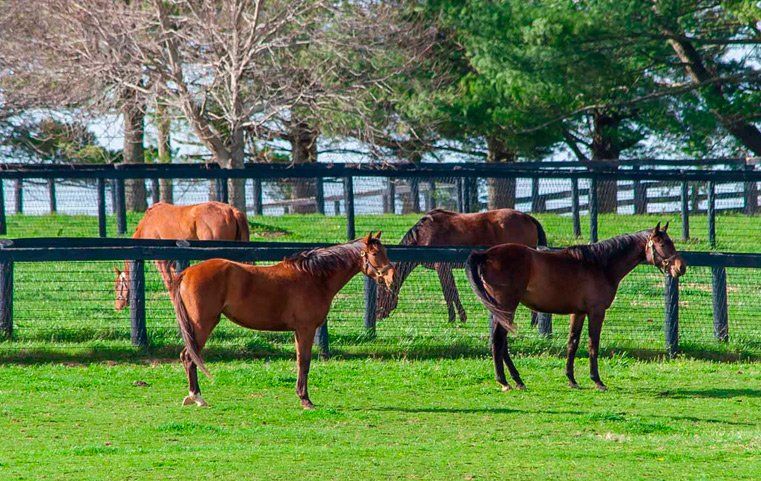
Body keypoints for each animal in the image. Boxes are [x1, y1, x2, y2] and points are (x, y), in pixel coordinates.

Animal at [113, 201, 250, 310]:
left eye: (117, 286)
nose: (117, 306)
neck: (148, 223)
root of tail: (232, 211)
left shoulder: (161, 261)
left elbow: (169, 282)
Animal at [169, 232, 395, 409]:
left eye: (385, 252)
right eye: (375, 253)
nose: (391, 278)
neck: (314, 277)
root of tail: (187, 272)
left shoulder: (298, 331)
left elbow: (299, 360)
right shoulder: (306, 329)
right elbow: (304, 362)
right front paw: (305, 400)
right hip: (202, 325)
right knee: (189, 357)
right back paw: (197, 397)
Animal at [376, 208, 547, 323]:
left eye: (379, 294)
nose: (377, 315)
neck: (423, 236)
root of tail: (528, 217)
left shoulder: (441, 267)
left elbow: (449, 292)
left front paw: (453, 318)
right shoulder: (445, 268)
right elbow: (452, 291)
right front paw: (459, 317)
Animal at [466, 222, 686, 391]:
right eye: (663, 243)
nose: (680, 267)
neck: (600, 265)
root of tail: (486, 255)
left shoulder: (578, 313)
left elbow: (573, 343)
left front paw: (571, 379)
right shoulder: (596, 312)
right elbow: (593, 344)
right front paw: (597, 381)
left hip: (501, 310)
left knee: (501, 342)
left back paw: (517, 380)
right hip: (507, 307)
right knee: (498, 341)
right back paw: (504, 381)